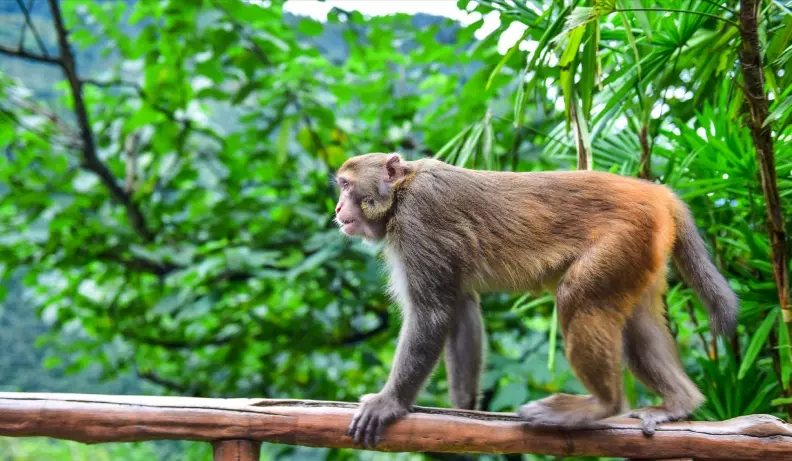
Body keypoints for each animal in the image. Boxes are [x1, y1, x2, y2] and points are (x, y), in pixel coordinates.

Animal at [332, 153, 736, 448]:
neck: (403, 189)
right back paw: (679, 403)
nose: (337, 209)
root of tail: (655, 192)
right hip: (645, 248)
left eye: (345, 185)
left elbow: (432, 315)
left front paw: (389, 403)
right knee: (638, 326)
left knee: (579, 298)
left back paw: (602, 405)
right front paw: (463, 409)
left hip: (624, 237)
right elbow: (459, 309)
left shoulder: (419, 220)